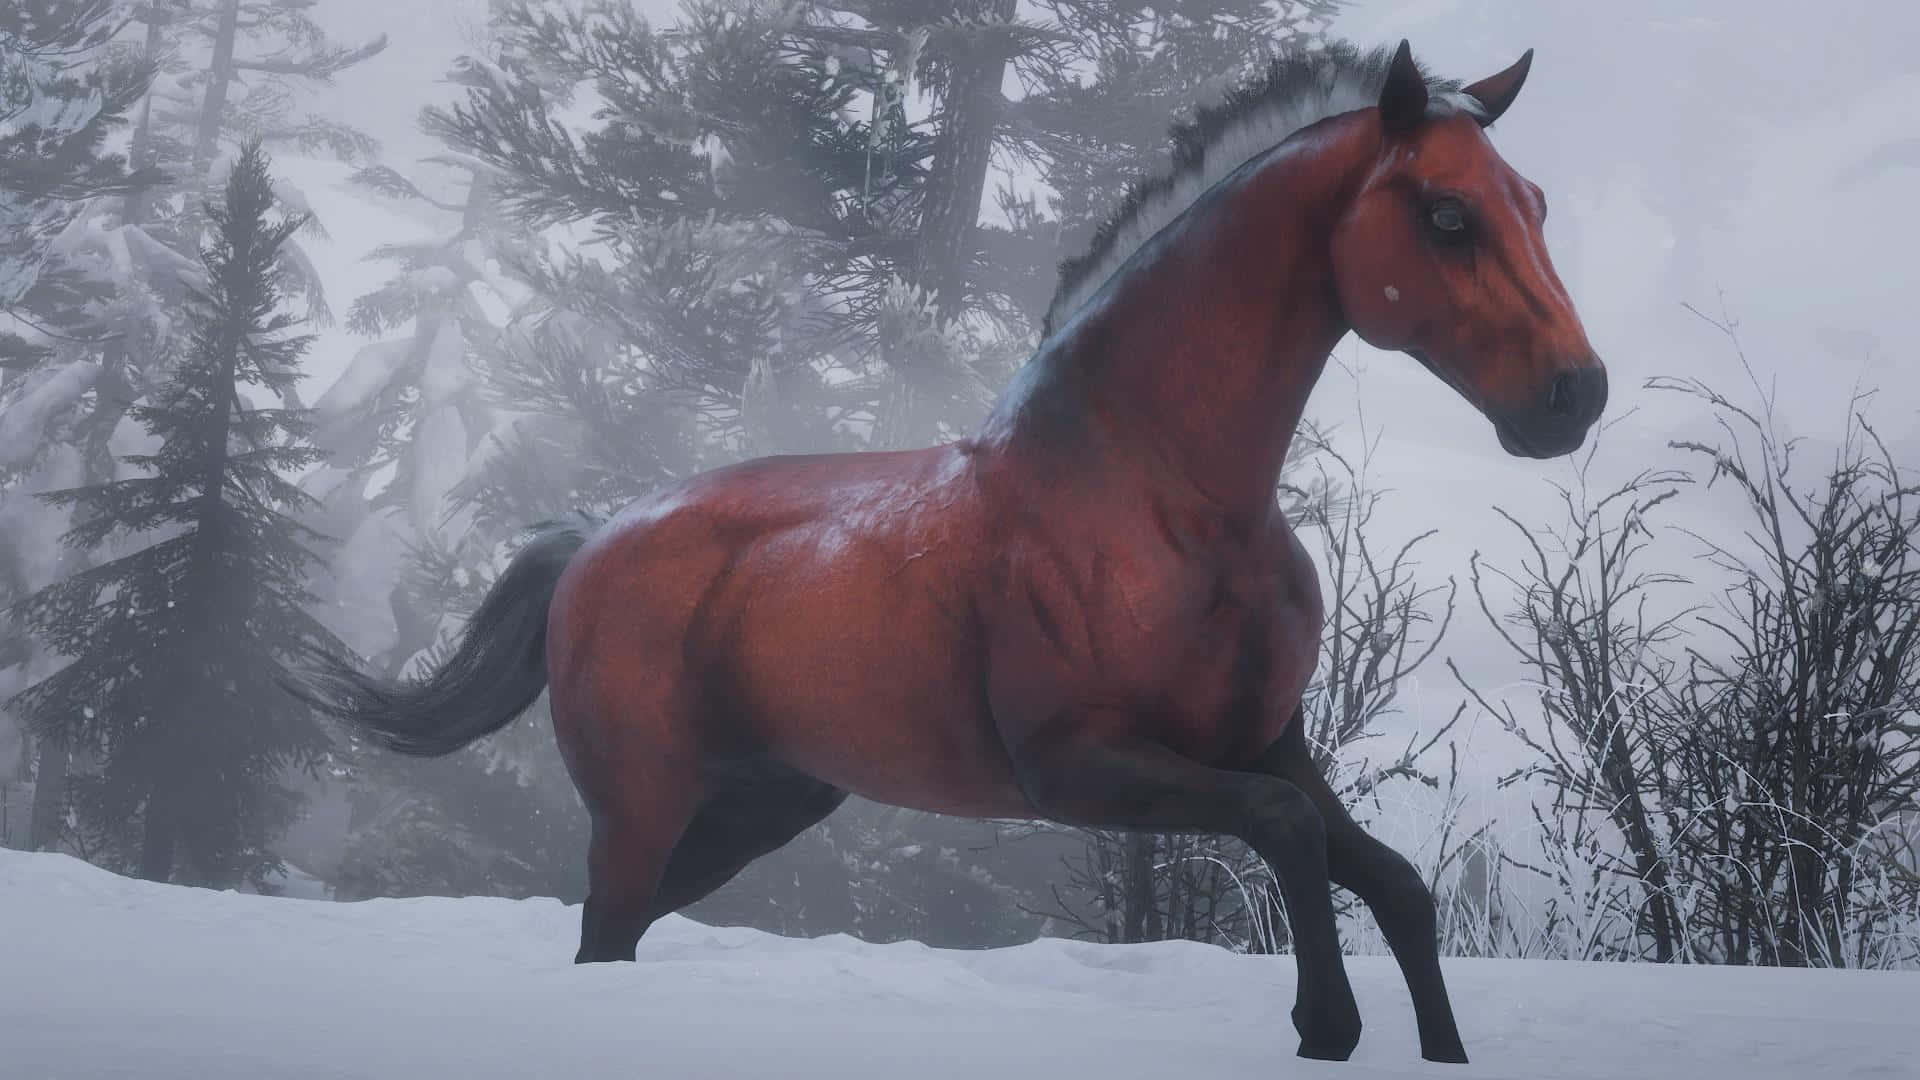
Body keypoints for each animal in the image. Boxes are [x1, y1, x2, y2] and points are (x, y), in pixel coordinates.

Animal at [295, 40, 1605, 1064]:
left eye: (1538, 202)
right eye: (1446, 215)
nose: (1575, 397)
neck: (1167, 498)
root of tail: (591, 539)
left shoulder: (1267, 745)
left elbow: (1399, 888)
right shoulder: (1082, 767)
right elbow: (1291, 843)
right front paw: (1321, 1024)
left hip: (756, 808)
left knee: (612, 938)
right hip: (641, 808)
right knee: (604, 934)